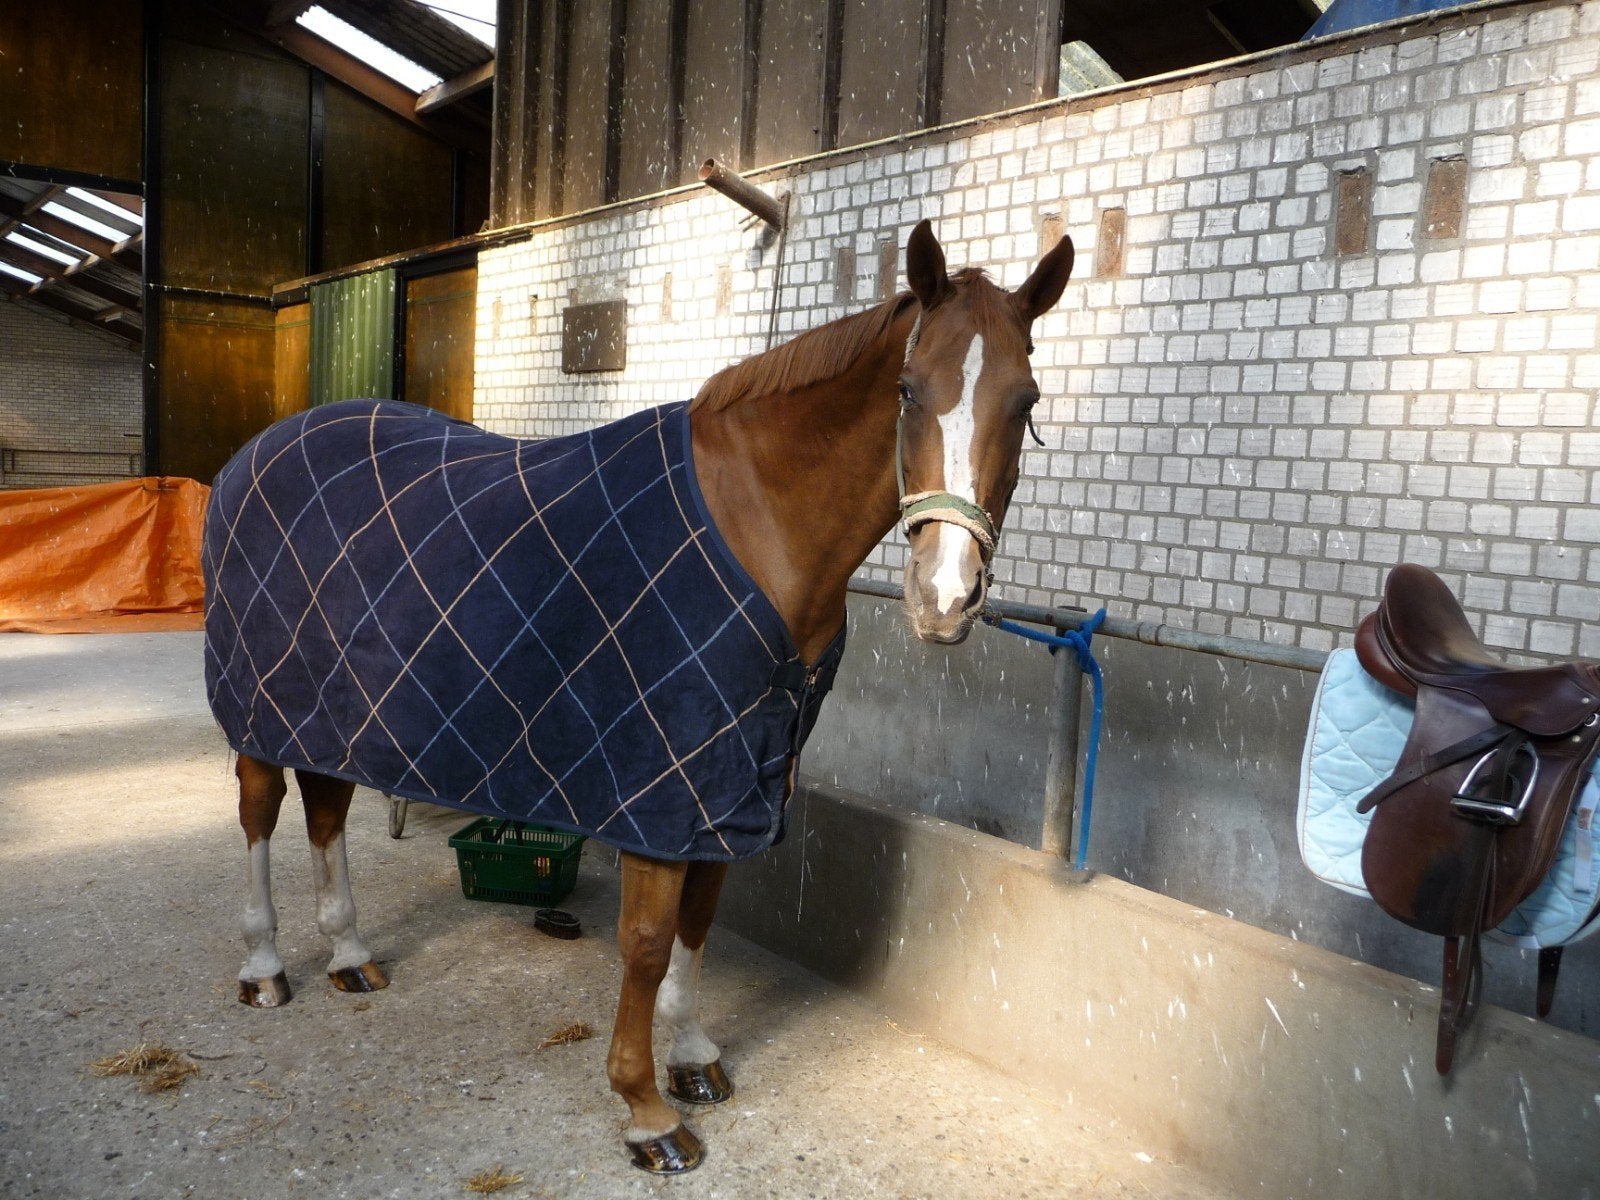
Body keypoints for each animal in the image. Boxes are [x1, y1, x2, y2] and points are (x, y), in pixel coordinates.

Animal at [203, 218, 1075, 1172]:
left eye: (1026, 401)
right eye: (910, 392)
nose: (944, 599)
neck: (758, 520)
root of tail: (258, 453)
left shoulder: (735, 781)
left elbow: (700, 920)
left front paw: (691, 1057)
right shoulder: (661, 784)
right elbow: (650, 943)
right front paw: (647, 1110)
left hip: (331, 710)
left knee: (326, 809)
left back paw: (350, 954)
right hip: (260, 711)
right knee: (259, 814)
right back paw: (263, 968)